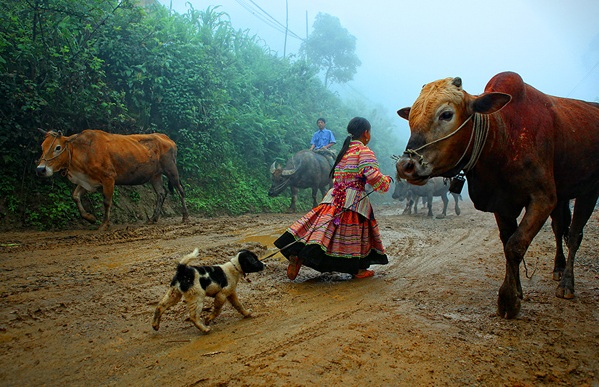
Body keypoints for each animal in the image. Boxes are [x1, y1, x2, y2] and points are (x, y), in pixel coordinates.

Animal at [36, 129, 189, 232]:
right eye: (42, 147)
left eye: (57, 147)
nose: (40, 169)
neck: (84, 151)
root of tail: (166, 137)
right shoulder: (87, 180)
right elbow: (75, 196)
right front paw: (90, 218)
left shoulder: (108, 178)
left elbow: (107, 201)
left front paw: (104, 224)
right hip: (155, 175)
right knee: (161, 193)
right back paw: (153, 218)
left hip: (171, 169)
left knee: (180, 191)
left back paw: (185, 217)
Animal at [394, 72, 599, 318]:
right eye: (411, 117)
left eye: (446, 114)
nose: (405, 166)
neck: (503, 135)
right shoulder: (502, 203)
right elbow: (507, 242)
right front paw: (517, 290)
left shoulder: (543, 199)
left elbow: (515, 245)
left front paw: (508, 300)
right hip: (563, 195)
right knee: (560, 229)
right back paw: (558, 268)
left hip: (588, 191)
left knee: (575, 235)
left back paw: (567, 283)